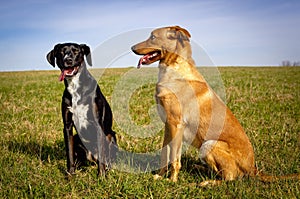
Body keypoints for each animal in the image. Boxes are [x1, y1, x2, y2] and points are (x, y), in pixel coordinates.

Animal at [46, 42, 118, 176]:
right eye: (61, 52)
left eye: (76, 51)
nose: (68, 60)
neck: (76, 88)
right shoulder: (67, 126)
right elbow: (69, 154)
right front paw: (70, 175)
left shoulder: (98, 125)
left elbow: (102, 154)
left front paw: (101, 176)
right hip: (76, 138)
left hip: (111, 136)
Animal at [132, 26, 298, 185]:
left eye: (153, 37)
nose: (132, 47)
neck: (173, 70)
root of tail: (253, 169)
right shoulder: (168, 126)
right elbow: (164, 154)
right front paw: (160, 176)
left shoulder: (176, 124)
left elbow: (174, 159)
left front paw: (172, 181)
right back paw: (199, 168)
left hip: (208, 145)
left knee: (229, 178)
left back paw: (206, 182)